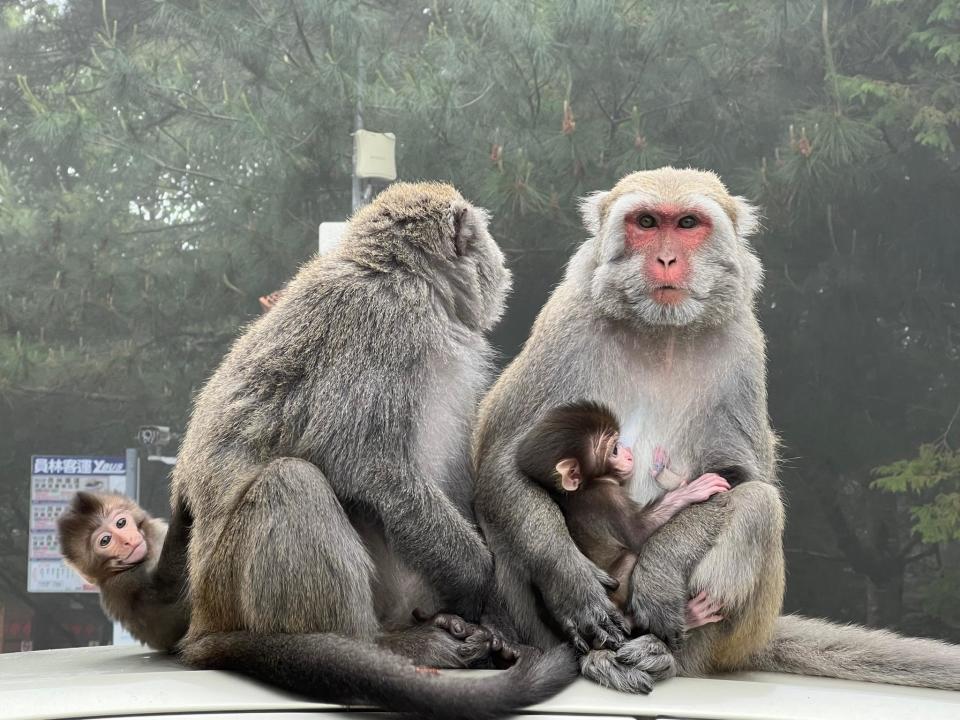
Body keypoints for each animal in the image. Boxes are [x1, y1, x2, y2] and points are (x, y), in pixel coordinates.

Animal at [58, 490, 191, 652]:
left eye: (120, 523)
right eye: (105, 540)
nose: (126, 541)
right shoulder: (123, 583)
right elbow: (169, 594)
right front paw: (182, 510)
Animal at [516, 402, 728, 640]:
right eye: (614, 450)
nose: (627, 451)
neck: (585, 487)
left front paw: (662, 470)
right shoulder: (609, 499)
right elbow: (639, 533)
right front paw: (693, 490)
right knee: (630, 558)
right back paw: (687, 616)